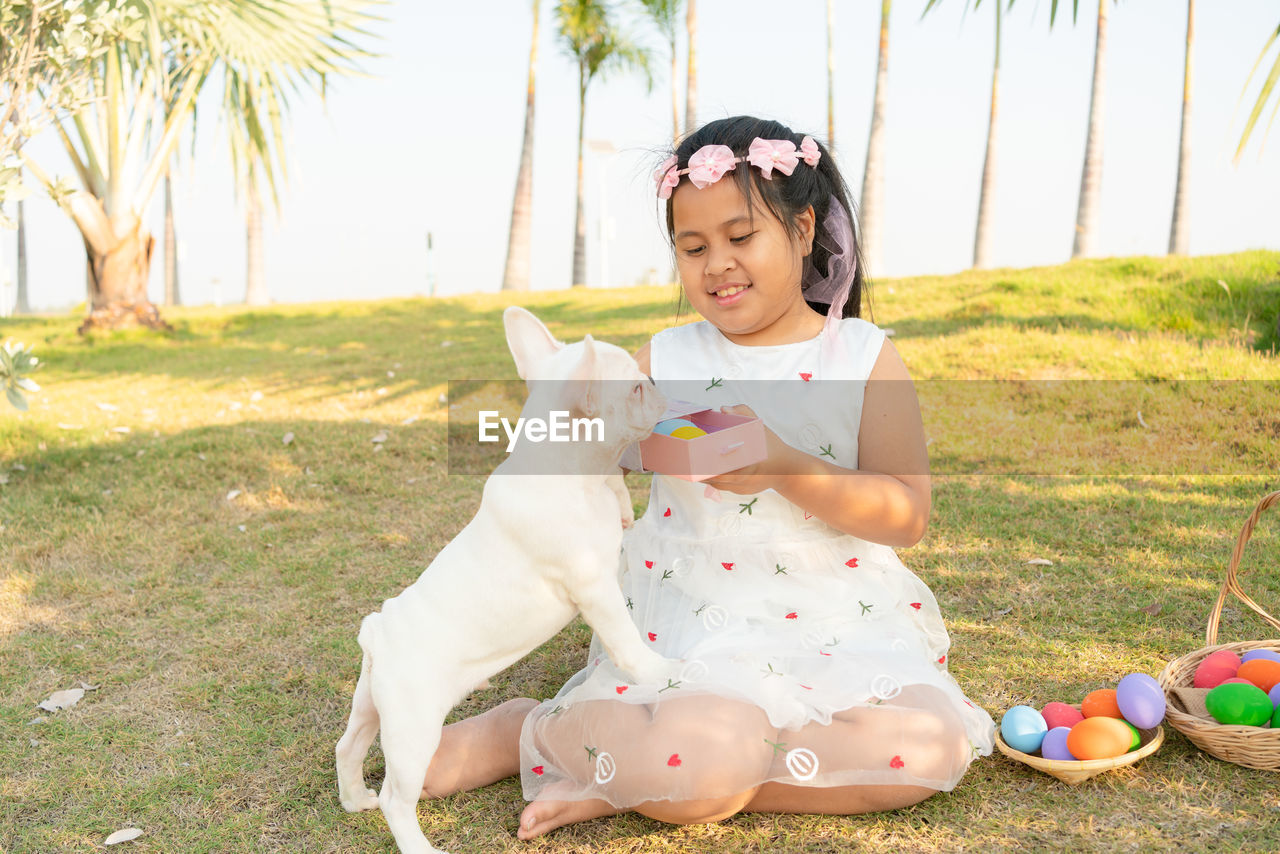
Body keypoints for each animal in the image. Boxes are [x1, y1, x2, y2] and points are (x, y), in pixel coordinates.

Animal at [335, 307, 670, 854]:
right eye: (637, 387)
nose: (657, 381)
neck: (571, 472)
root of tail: (379, 632)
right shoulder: (593, 586)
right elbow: (625, 641)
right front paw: (657, 669)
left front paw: (621, 502)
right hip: (413, 727)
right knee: (396, 799)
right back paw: (417, 843)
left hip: (372, 704)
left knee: (349, 745)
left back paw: (353, 799)